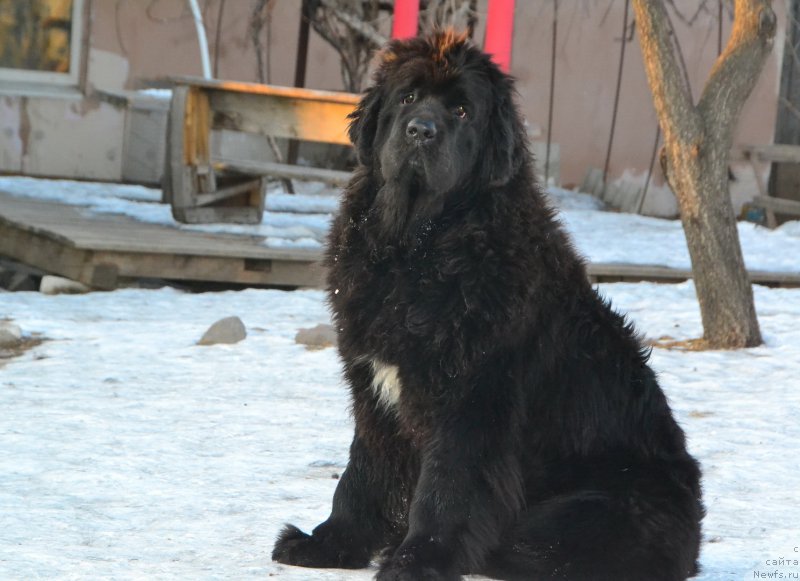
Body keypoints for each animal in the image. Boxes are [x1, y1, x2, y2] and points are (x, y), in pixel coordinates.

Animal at [272, 30, 704, 580]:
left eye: (461, 110)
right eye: (407, 98)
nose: (420, 132)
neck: (416, 248)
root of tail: (692, 547)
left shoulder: (472, 397)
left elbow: (446, 487)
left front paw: (418, 560)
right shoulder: (373, 387)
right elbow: (363, 469)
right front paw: (330, 543)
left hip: (601, 504)